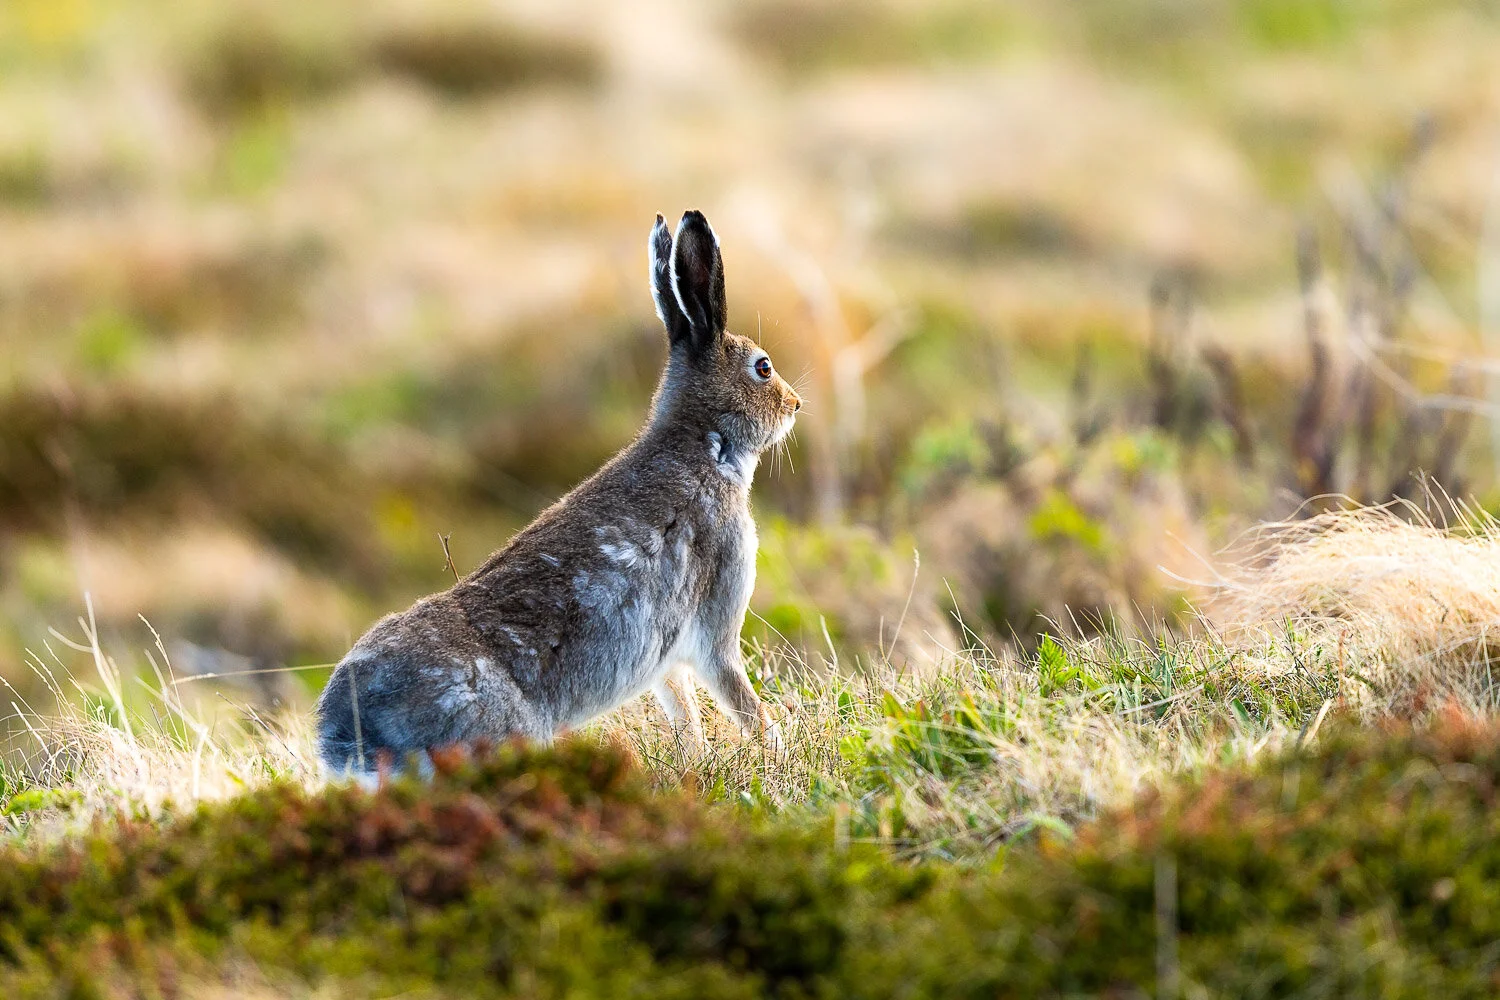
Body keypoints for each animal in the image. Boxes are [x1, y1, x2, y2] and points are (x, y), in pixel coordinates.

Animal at [315, 210, 801, 773]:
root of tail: (349, 732)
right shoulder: (716, 622)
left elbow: (683, 712)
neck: (705, 443)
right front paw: (779, 751)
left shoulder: (666, 662)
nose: (795, 403)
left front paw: (696, 763)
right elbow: (739, 698)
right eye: (763, 367)